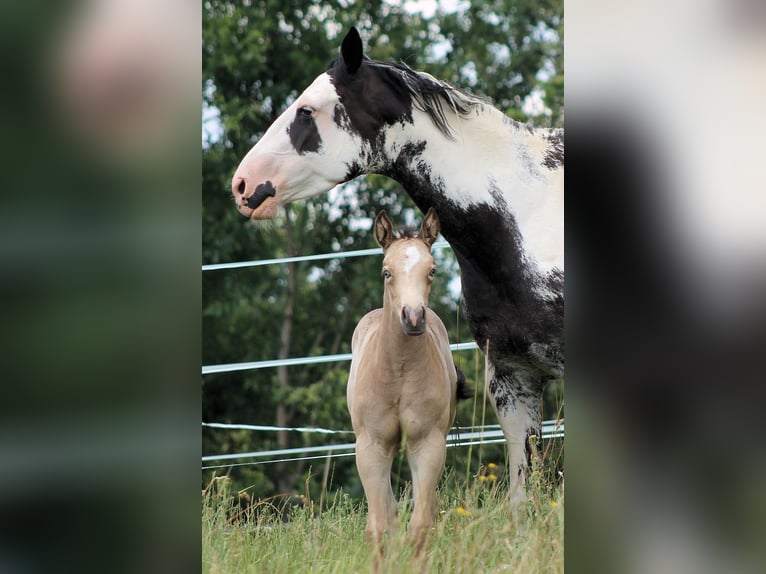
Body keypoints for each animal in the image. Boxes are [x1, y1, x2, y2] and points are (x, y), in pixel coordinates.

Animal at [346, 209, 468, 552]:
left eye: (432, 270)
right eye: (386, 272)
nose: (413, 317)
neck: (398, 374)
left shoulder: (427, 443)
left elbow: (421, 527)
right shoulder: (371, 446)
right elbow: (379, 529)